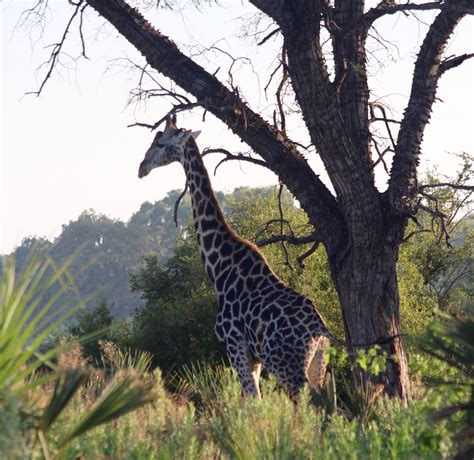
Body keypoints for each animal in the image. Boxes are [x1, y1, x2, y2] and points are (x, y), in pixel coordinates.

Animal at [137, 116, 330, 398]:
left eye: (160, 142)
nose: (141, 168)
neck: (219, 268)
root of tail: (319, 332)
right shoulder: (252, 356)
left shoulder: (234, 345)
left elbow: (252, 400)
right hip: (317, 365)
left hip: (286, 365)